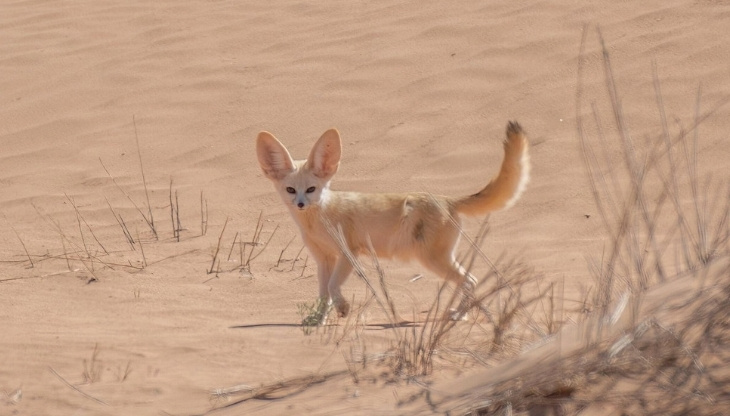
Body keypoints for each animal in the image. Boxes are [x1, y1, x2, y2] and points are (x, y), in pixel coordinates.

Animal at [256, 121, 529, 325]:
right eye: (291, 190)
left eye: (312, 189)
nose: (301, 204)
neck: (318, 220)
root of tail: (446, 199)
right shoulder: (323, 260)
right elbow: (324, 294)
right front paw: (319, 319)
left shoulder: (348, 254)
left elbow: (333, 287)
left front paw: (343, 308)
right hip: (438, 260)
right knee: (469, 281)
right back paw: (460, 314)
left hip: (433, 260)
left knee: (470, 280)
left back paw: (458, 315)